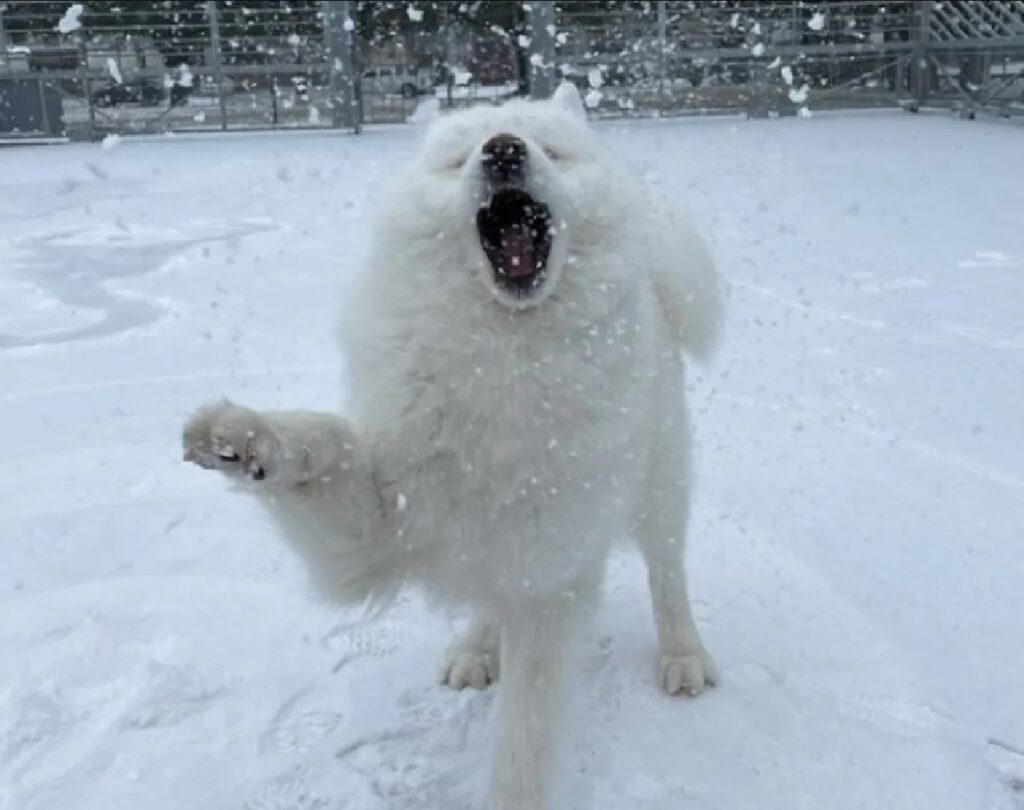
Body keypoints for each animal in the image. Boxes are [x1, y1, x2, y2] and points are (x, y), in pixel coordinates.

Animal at [186, 83, 729, 810]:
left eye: (549, 147)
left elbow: (524, 745)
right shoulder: (380, 527)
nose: (503, 148)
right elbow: (328, 438)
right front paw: (240, 437)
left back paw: (683, 656)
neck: (501, 357)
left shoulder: (546, 583)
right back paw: (475, 649)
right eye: (458, 157)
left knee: (667, 574)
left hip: (659, 487)